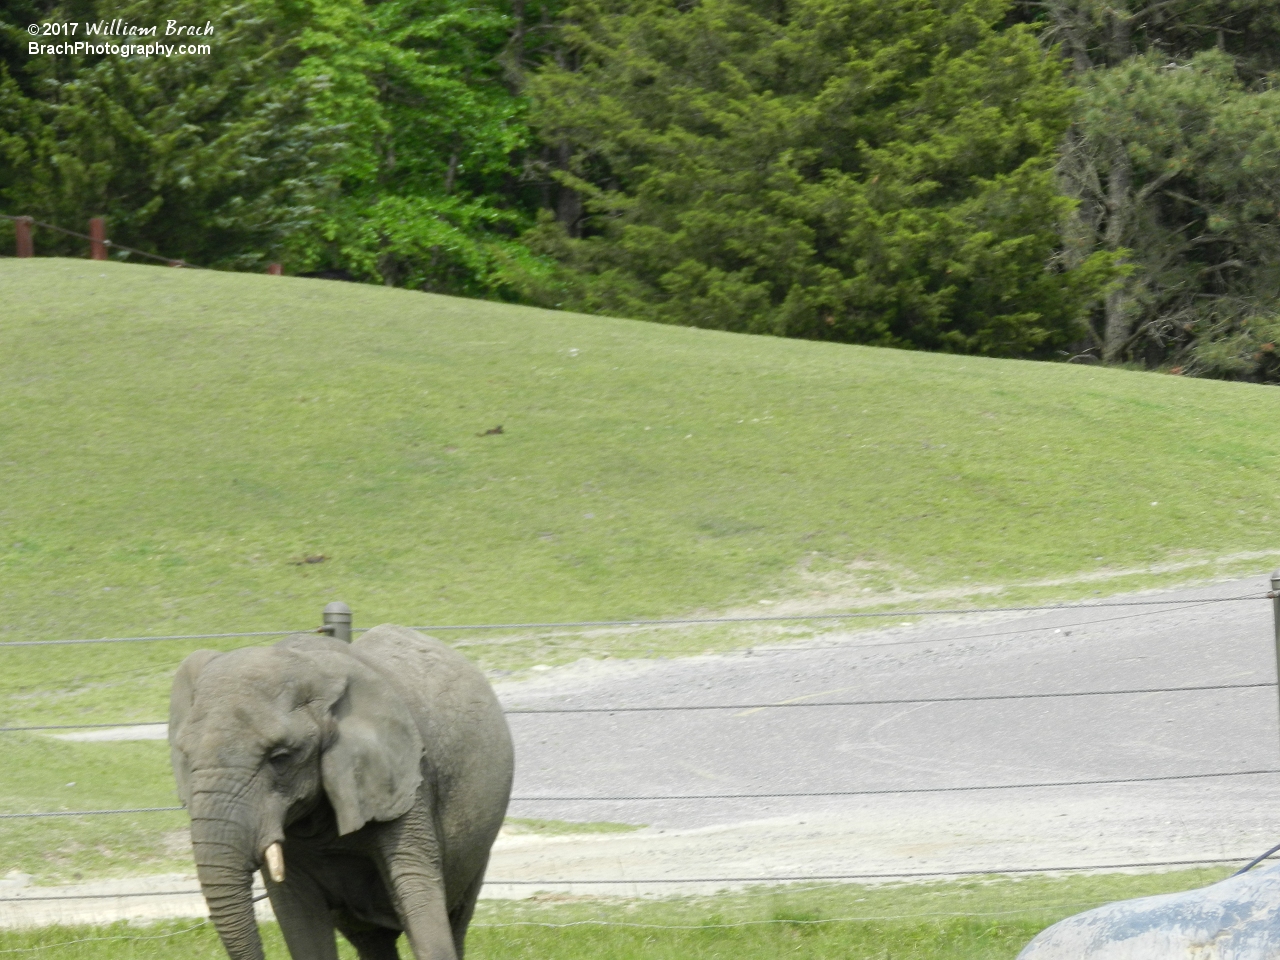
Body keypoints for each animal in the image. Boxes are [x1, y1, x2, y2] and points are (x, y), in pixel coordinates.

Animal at [170, 624, 514, 960]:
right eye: (185, 756)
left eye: (280, 758)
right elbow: (299, 918)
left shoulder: (406, 778)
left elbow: (417, 890)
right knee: (371, 939)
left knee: (455, 918)